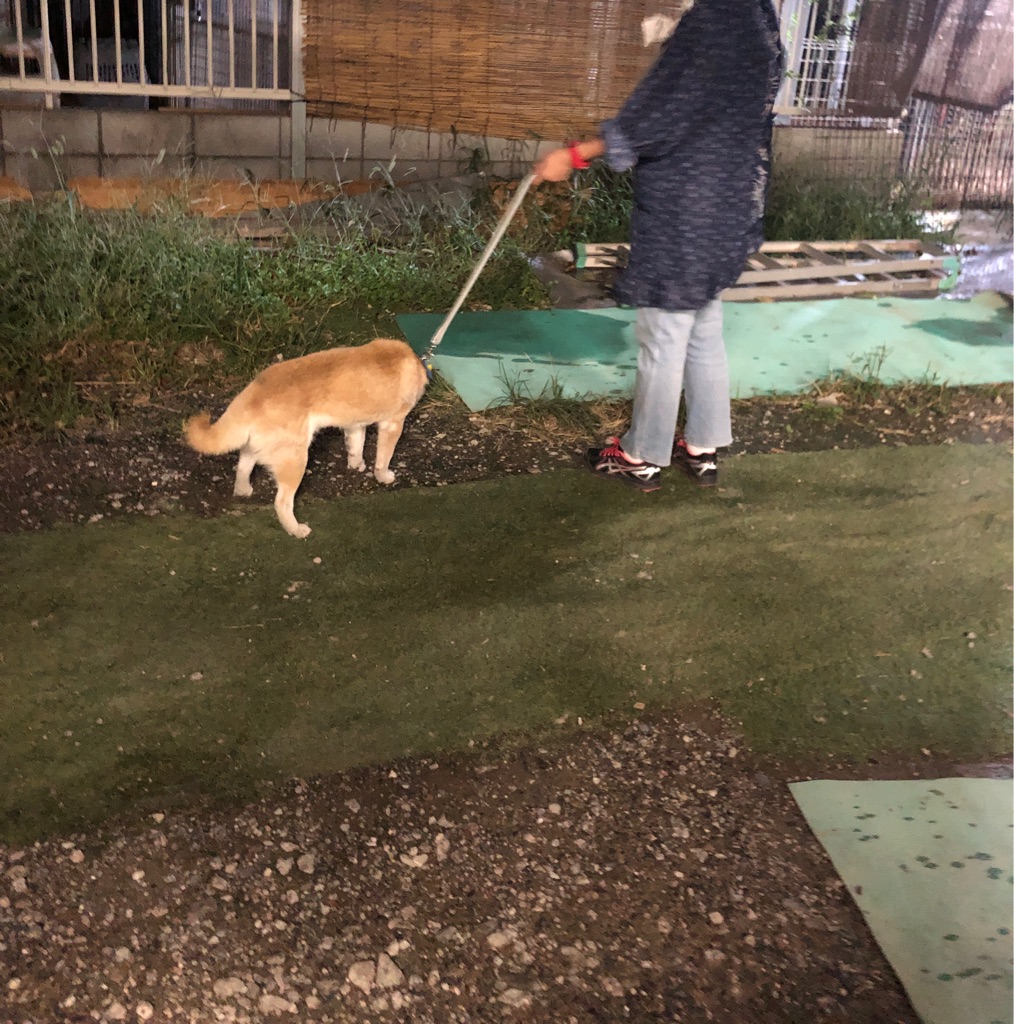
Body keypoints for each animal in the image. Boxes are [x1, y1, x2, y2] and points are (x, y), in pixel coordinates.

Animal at [184, 338, 428, 538]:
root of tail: (252, 393)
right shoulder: (393, 423)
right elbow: (383, 457)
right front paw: (383, 476)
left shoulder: (354, 425)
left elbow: (356, 447)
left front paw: (357, 465)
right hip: (296, 460)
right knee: (282, 502)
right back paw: (295, 530)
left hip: (259, 446)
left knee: (243, 466)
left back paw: (244, 490)